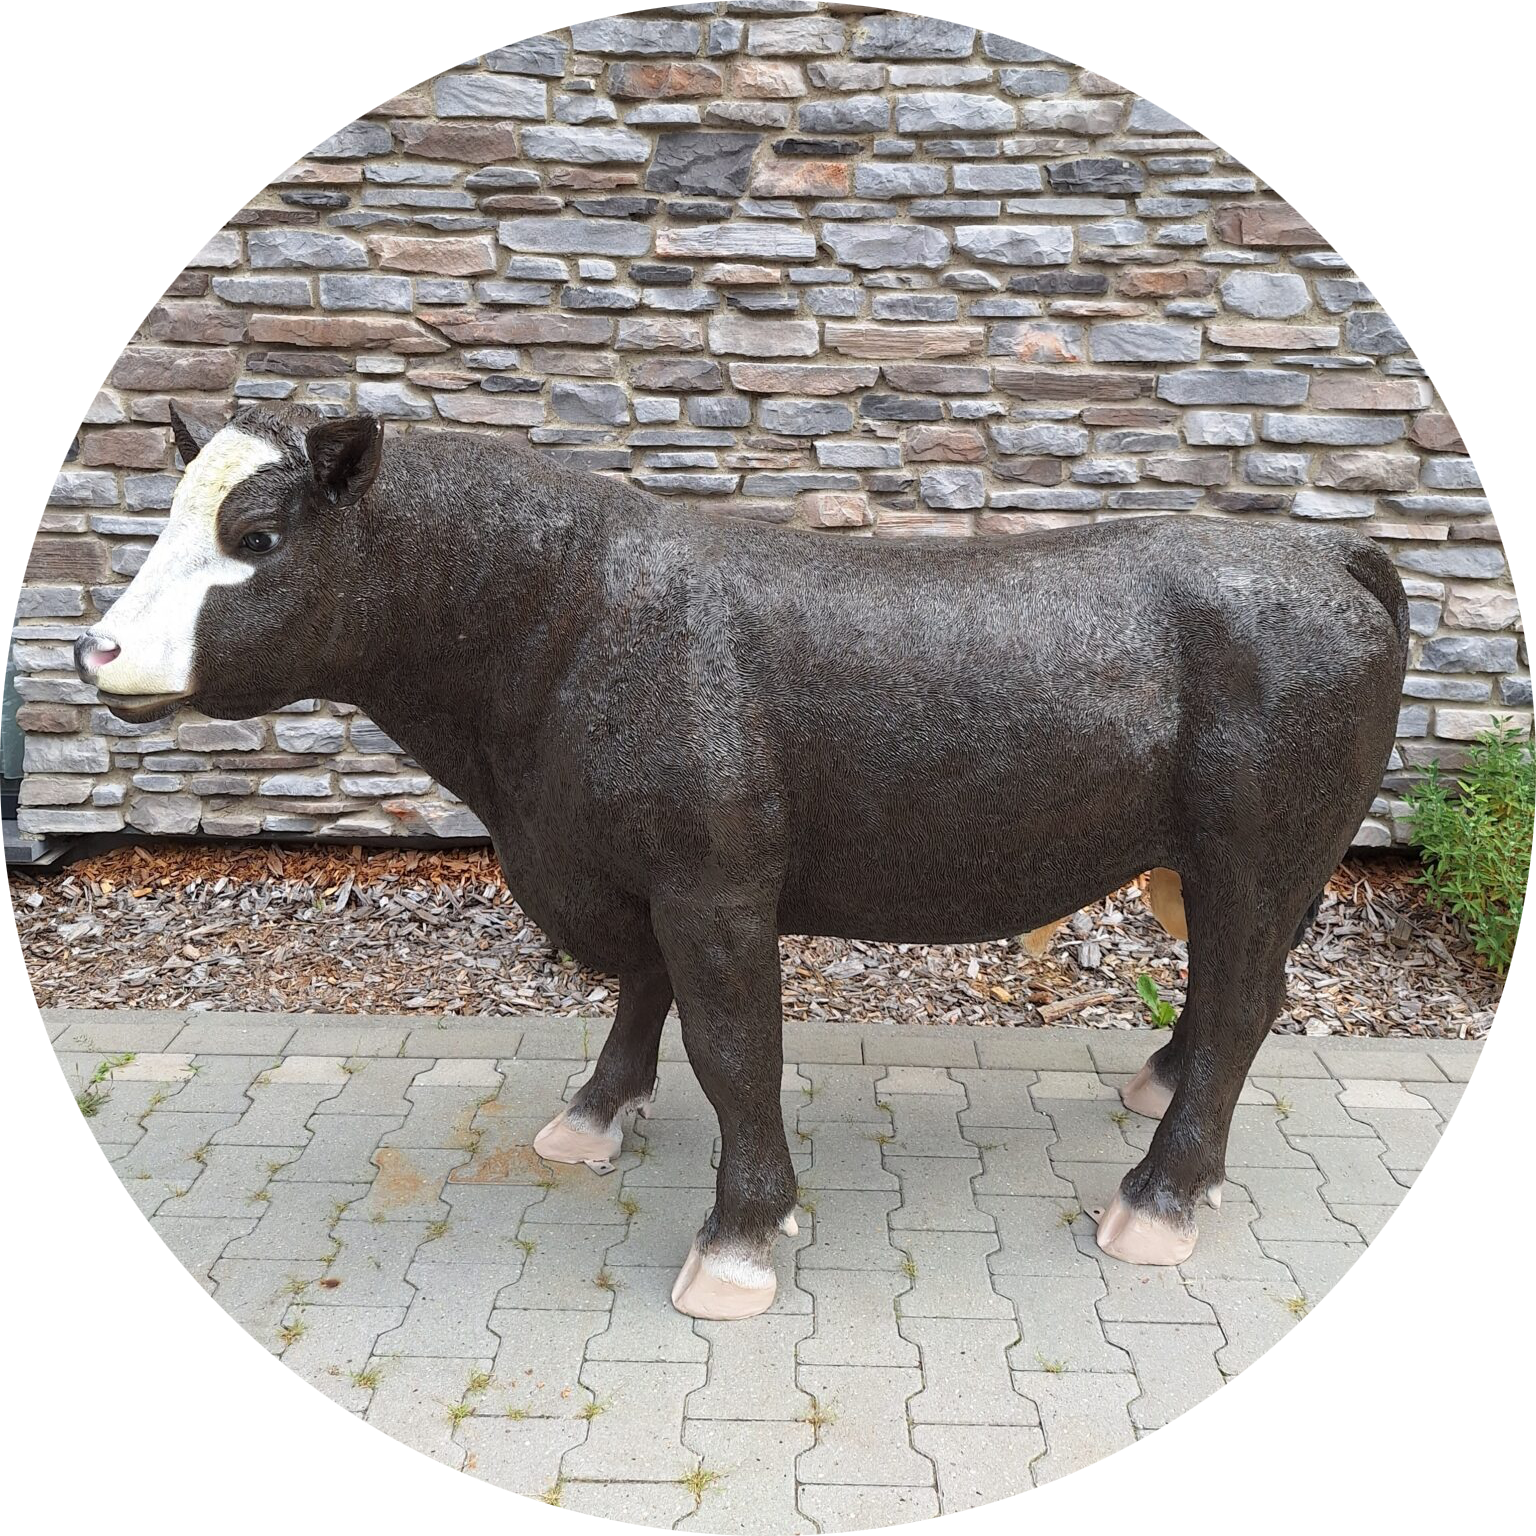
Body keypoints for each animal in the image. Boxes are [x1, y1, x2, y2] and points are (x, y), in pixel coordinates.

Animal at [74, 402, 1409, 1320]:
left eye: (254, 534)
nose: (96, 651)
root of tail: (1318, 554)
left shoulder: (714, 877)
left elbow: (731, 1047)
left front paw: (738, 1241)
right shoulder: (629, 865)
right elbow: (640, 994)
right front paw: (594, 1116)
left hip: (1257, 845)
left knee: (1244, 1000)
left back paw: (1158, 1197)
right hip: (1250, 859)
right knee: (1230, 995)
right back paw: (1157, 1084)